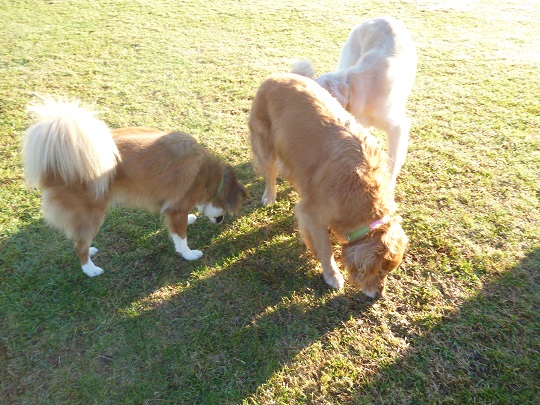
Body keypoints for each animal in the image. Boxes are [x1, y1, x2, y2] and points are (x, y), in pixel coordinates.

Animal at [23, 97, 248, 277]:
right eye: (225, 212)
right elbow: (181, 237)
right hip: (91, 212)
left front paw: (191, 218)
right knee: (80, 245)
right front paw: (189, 254)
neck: (209, 176)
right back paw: (90, 269)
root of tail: (54, 162)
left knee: (79, 238)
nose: (220, 222)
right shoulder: (176, 210)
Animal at [249, 74, 408, 298]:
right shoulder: (313, 212)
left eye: (387, 271)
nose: (379, 295)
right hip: (265, 141)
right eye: (379, 270)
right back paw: (269, 196)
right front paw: (332, 275)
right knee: (270, 172)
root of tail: (276, 76)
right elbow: (326, 249)